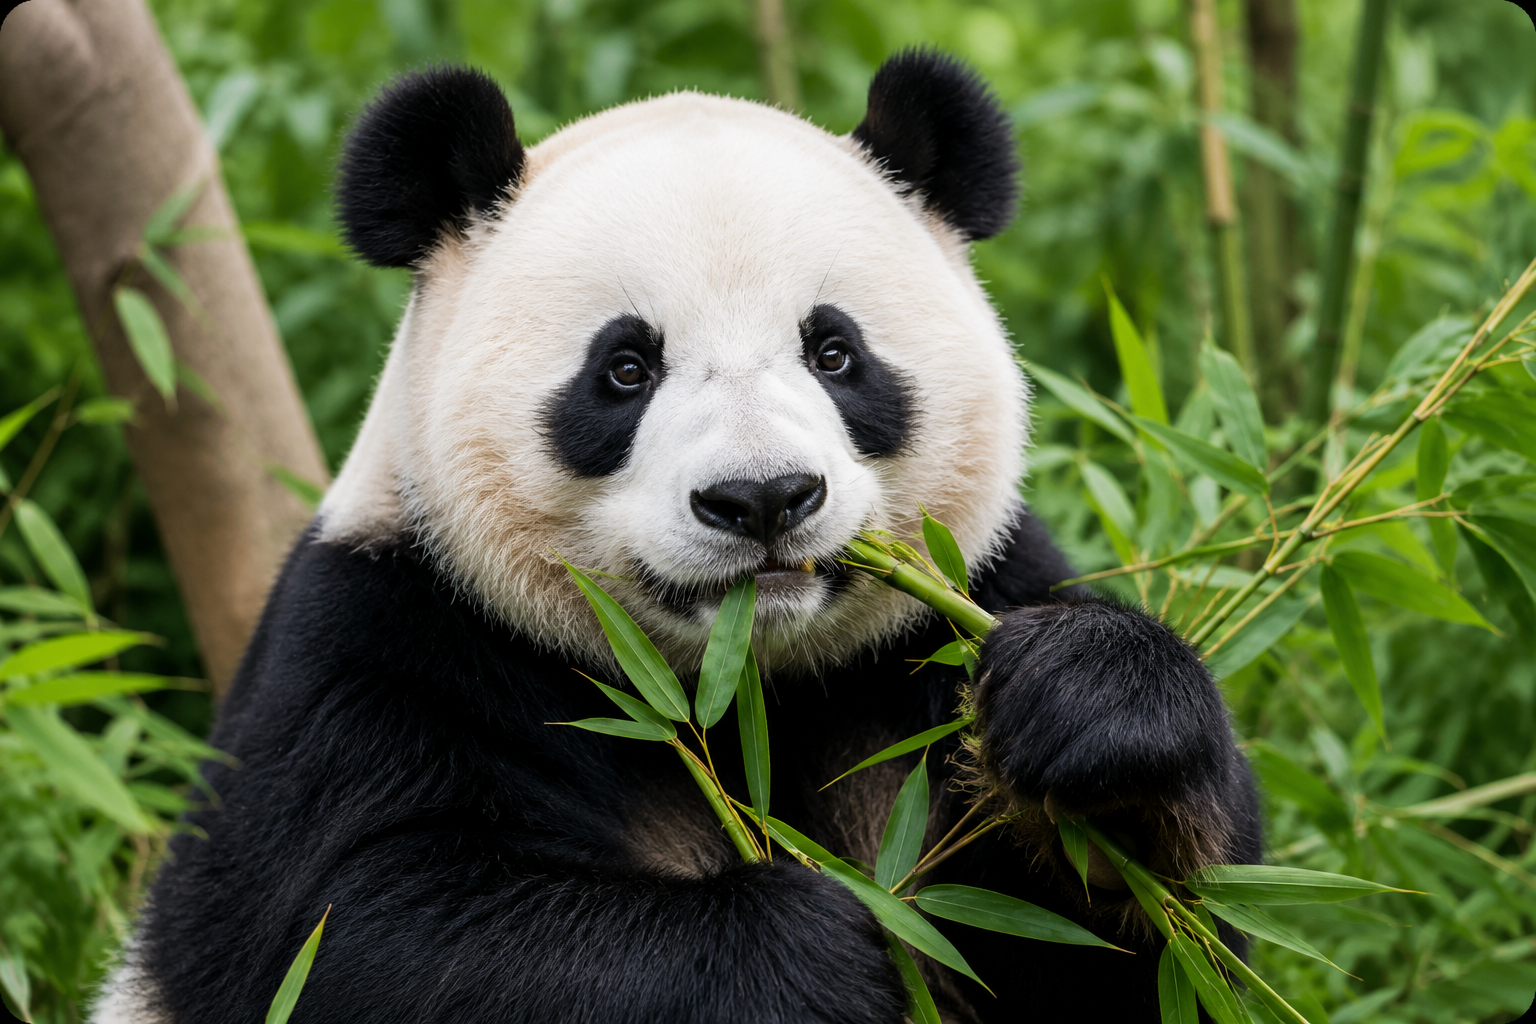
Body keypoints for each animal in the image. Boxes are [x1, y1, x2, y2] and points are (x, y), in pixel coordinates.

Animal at [99, 51, 1260, 1024]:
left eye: (835, 352)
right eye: (624, 368)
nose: (763, 498)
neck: (743, 690)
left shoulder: (938, 630)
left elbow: (1142, 952)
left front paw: (1095, 718)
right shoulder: (387, 641)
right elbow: (359, 935)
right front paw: (824, 949)